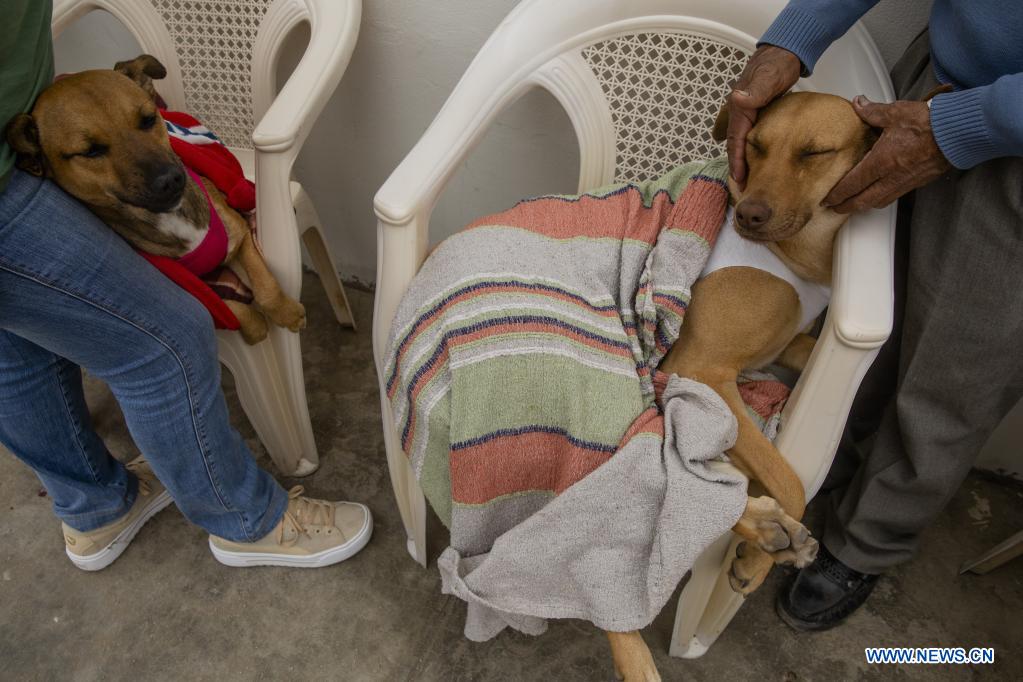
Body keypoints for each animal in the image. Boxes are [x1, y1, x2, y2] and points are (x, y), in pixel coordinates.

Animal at [4, 53, 302, 343]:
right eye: (90, 151)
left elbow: (265, 283)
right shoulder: (196, 289)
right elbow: (228, 307)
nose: (170, 180)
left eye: (148, 119)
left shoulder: (239, 233)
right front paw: (255, 326)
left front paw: (286, 312)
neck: (172, 218)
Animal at [605, 92, 879, 682]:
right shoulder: (703, 368)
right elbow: (791, 480)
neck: (795, 255)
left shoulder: (786, 348)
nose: (750, 213)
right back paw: (766, 535)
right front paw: (754, 563)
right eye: (754, 145)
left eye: (814, 152)